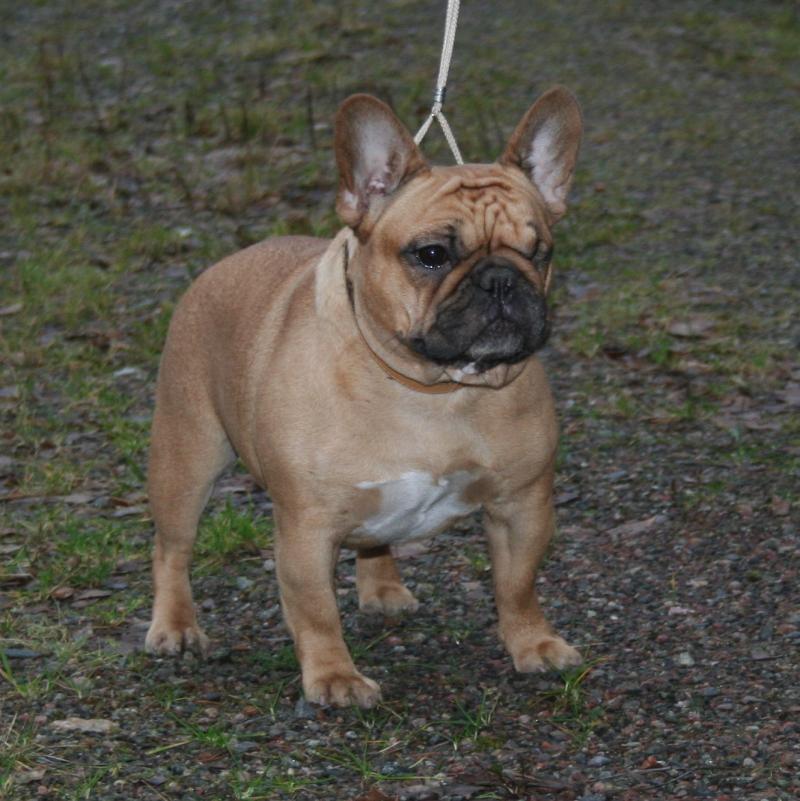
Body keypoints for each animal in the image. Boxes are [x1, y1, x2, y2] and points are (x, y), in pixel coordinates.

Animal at [145, 87, 584, 707]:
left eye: (540, 251)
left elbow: (518, 584)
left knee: (376, 542)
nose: (501, 280)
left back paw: (383, 590)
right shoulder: (306, 527)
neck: (433, 387)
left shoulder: (523, 504)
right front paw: (334, 676)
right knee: (173, 548)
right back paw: (176, 627)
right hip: (187, 458)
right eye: (431, 255)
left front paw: (533, 644)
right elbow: (315, 609)